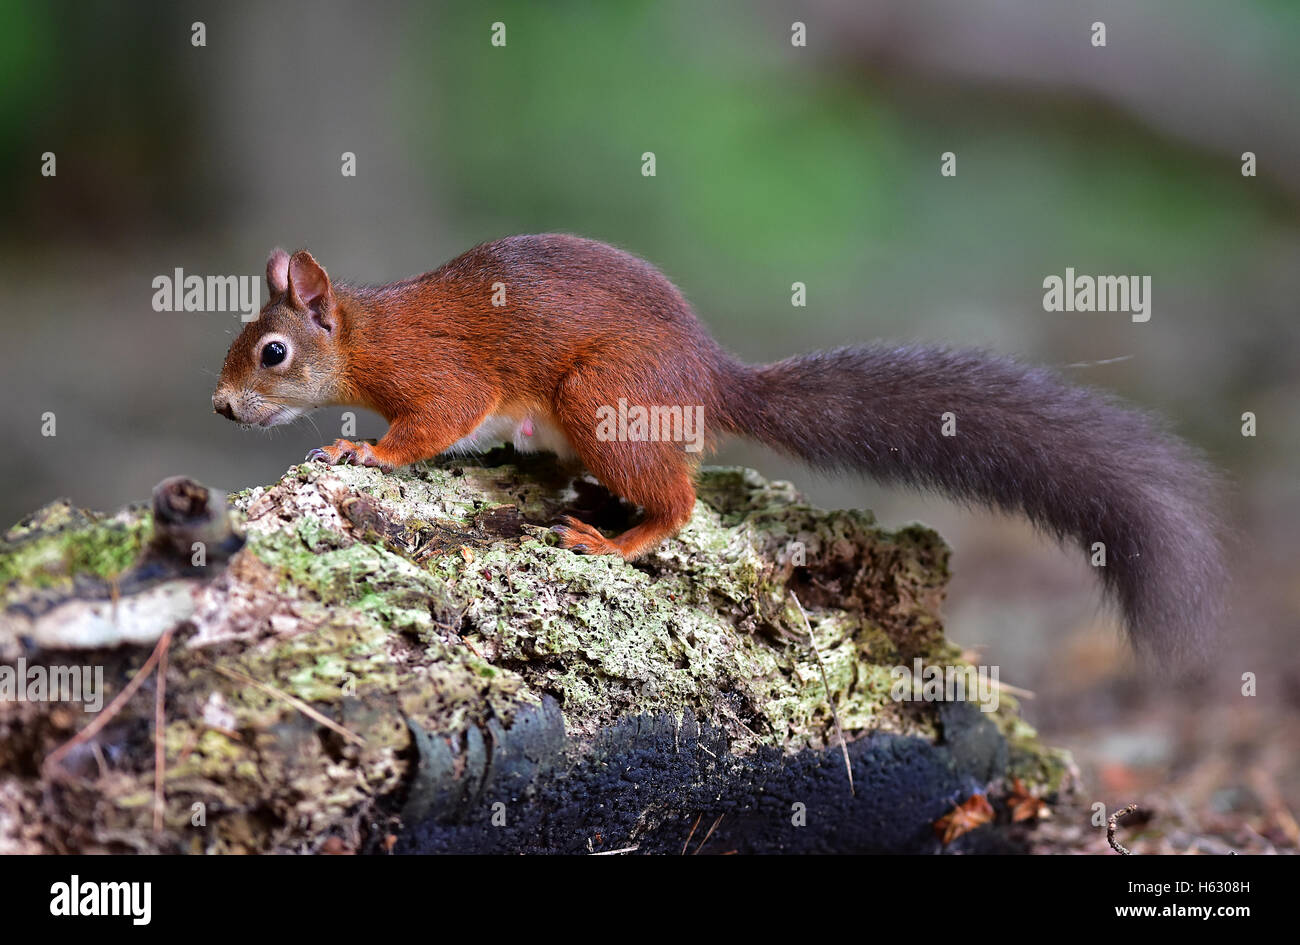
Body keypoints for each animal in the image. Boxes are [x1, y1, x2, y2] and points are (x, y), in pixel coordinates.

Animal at [213, 235, 1216, 662]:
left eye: (273, 353)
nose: (222, 407)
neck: (367, 334)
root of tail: (709, 376)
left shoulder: (441, 375)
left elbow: (433, 421)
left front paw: (368, 458)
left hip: (603, 397)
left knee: (683, 501)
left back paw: (615, 541)